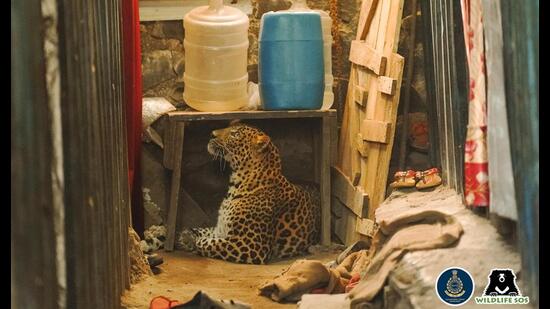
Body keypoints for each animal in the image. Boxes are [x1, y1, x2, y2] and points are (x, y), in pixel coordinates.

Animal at [177, 121, 322, 264]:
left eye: (234, 134)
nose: (211, 134)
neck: (236, 184)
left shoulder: (251, 245)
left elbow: (210, 243)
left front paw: (192, 242)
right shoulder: (221, 229)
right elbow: (205, 231)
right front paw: (185, 235)